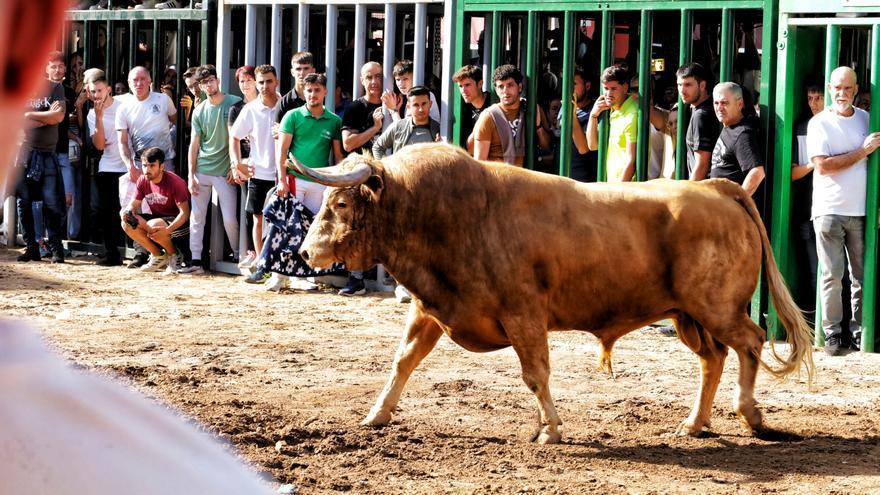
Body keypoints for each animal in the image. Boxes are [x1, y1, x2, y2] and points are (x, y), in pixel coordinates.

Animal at [292, 141, 816, 444]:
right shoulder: (431, 308)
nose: (304, 252)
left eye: (341, 204)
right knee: (714, 358)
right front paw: (376, 414)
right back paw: (694, 422)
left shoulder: (523, 314)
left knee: (749, 342)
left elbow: (535, 373)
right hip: (688, 314)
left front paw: (551, 430)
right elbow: (403, 361)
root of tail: (716, 187)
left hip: (717, 307)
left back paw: (749, 414)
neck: (444, 213)